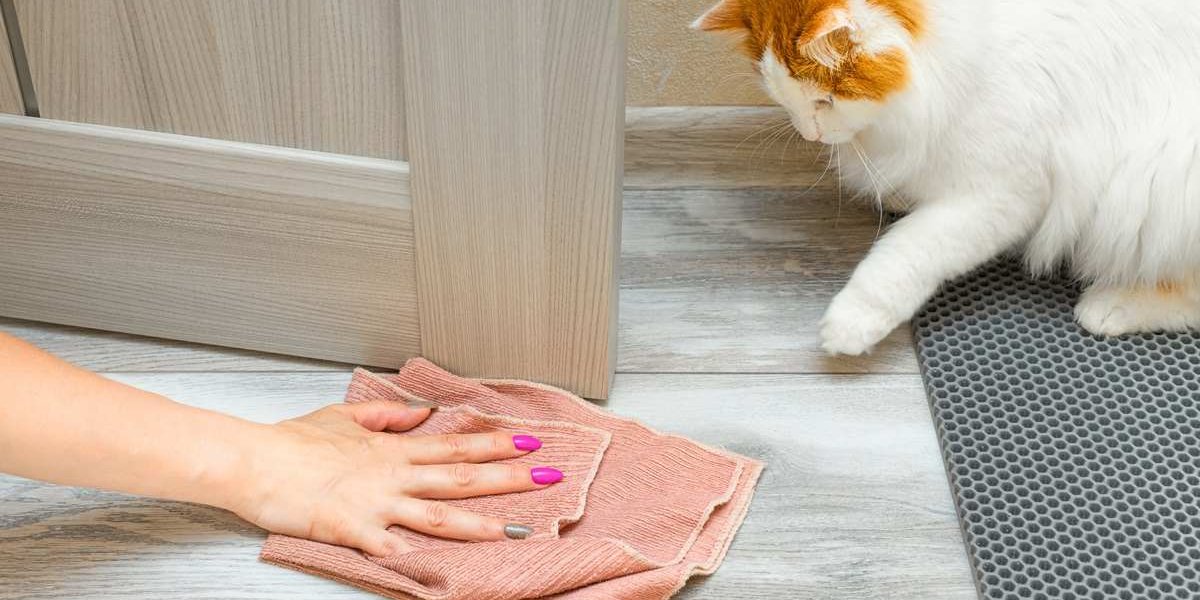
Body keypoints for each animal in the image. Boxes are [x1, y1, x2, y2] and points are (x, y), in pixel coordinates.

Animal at [691, 0, 1200, 352]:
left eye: (824, 101)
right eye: (778, 94)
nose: (808, 133)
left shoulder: (1001, 195)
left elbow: (904, 256)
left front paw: (851, 323)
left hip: (1162, 179)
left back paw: (1109, 306)